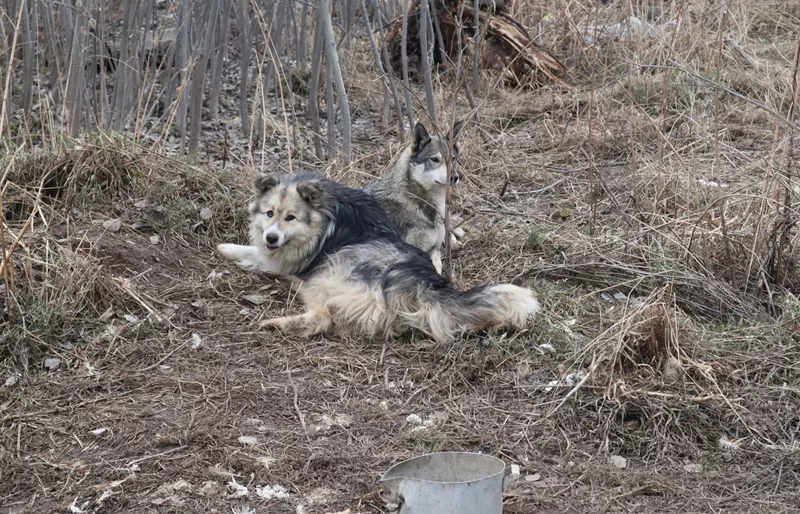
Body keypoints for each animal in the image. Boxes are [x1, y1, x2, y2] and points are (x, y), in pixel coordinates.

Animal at [216, 173, 540, 344]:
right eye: (269, 213)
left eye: (290, 217)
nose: (271, 237)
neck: (323, 213)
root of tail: (419, 279)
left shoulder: (289, 260)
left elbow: (255, 254)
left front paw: (227, 249)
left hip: (325, 275)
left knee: (322, 319)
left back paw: (277, 323)